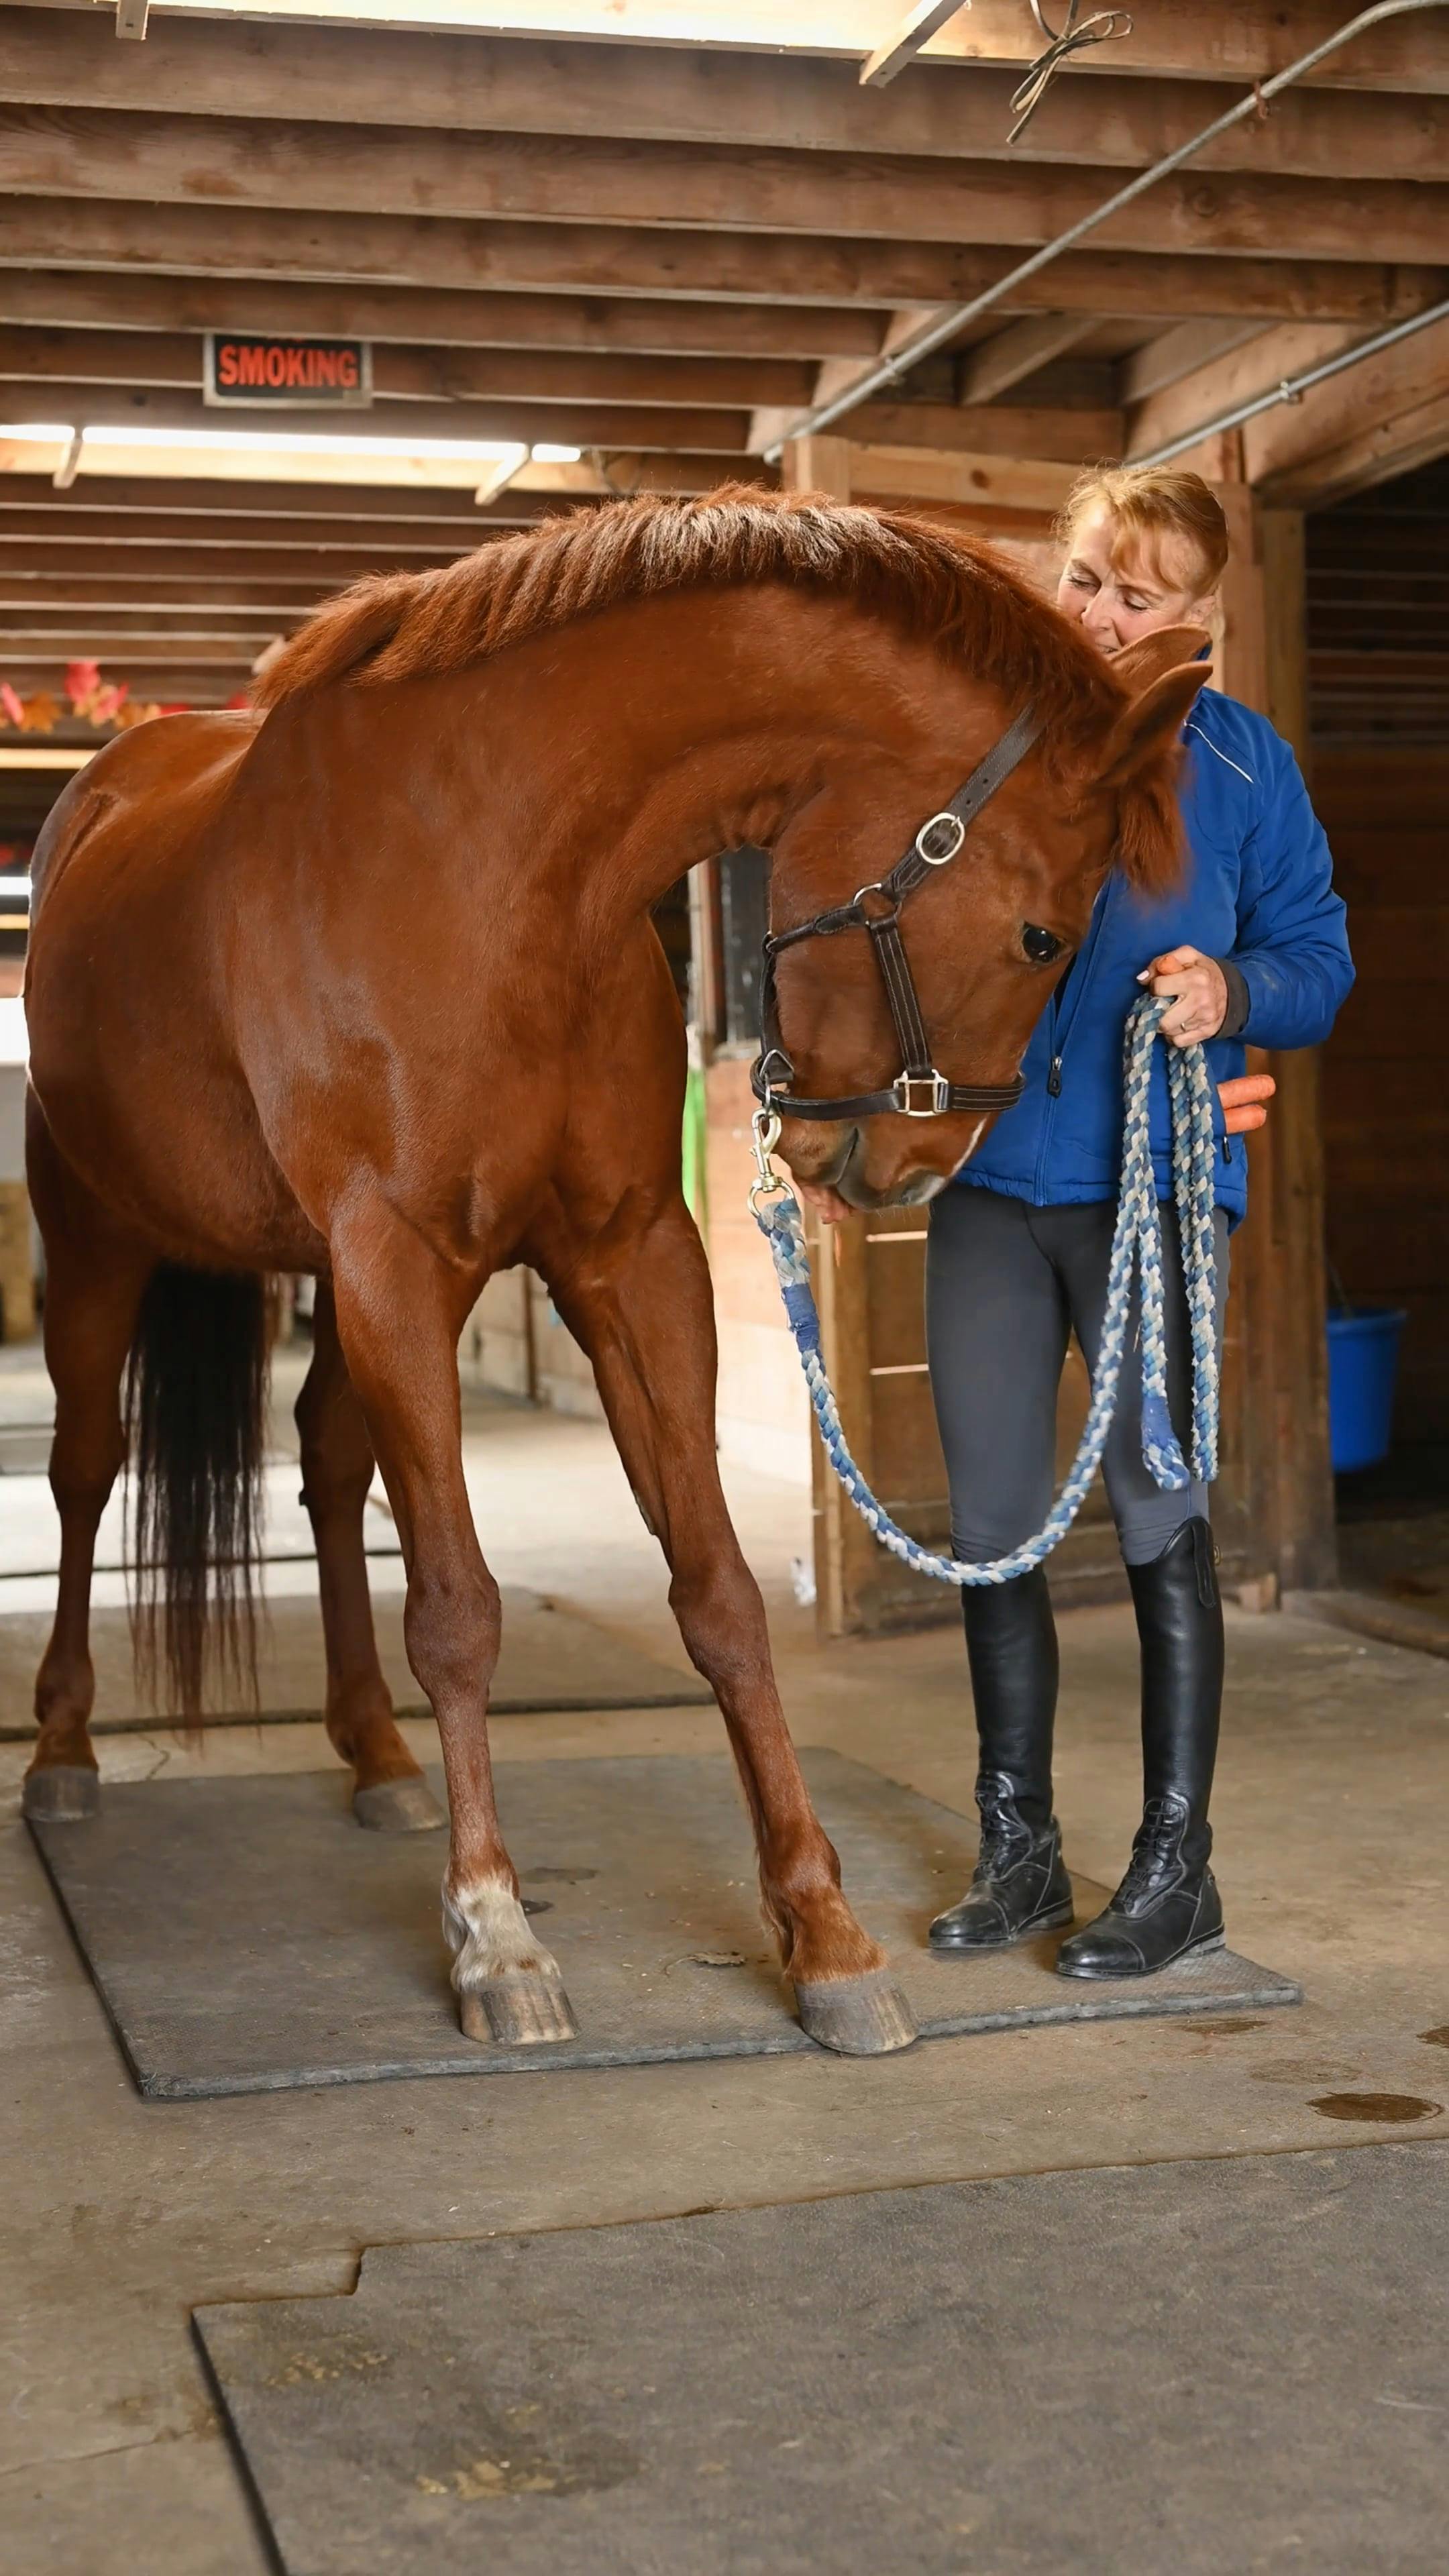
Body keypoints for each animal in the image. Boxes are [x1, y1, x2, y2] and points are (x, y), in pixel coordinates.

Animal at [21, 489, 1206, 2060]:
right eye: (1043, 933)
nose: (911, 1169)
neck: (498, 868)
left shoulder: (626, 1257)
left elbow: (718, 1593)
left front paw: (823, 1934)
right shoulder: (397, 1258)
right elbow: (458, 1610)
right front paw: (493, 1935)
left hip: (340, 1293)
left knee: (328, 1469)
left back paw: (374, 1753)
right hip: (107, 1241)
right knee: (88, 1470)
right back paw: (64, 1749)